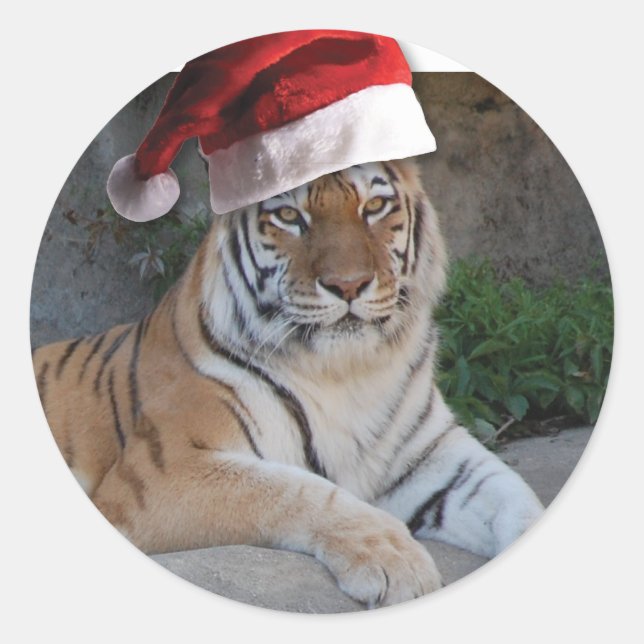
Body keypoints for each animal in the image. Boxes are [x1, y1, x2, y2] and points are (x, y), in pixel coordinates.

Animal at [32, 158, 544, 608]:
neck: (349, 371)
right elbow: (296, 491)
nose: (348, 284)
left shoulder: (435, 457)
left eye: (375, 206)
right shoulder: (164, 471)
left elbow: (515, 495)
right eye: (288, 216)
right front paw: (398, 562)